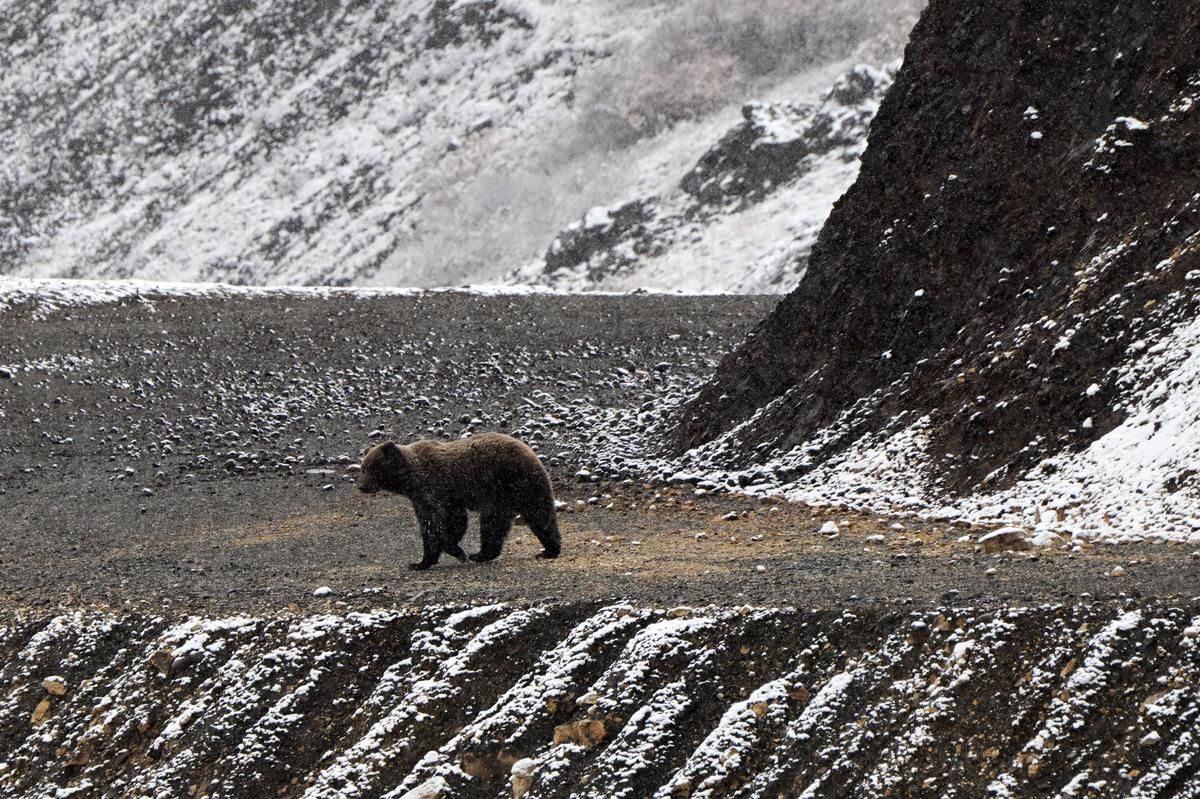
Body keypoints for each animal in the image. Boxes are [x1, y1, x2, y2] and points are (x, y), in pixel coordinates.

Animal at [357, 431, 562, 570]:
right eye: (362, 468)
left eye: (371, 468)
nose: (361, 486)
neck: (410, 479)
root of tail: (530, 453)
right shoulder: (430, 498)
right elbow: (442, 524)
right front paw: (427, 559)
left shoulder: (435, 488)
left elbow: (441, 523)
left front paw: (446, 553)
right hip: (524, 489)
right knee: (540, 517)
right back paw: (549, 549)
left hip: (503, 485)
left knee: (494, 521)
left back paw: (480, 554)